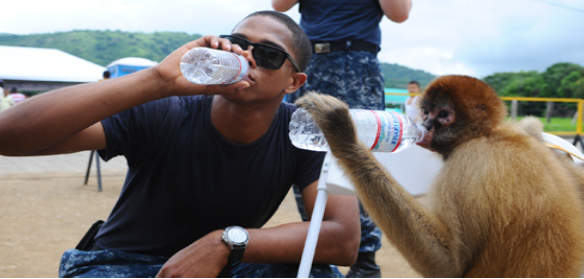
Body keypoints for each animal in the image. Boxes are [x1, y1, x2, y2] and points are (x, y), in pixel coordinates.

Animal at [296, 75, 584, 278]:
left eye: (444, 115)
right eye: (427, 112)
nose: (426, 125)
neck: (486, 135)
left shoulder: (468, 160)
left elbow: (449, 266)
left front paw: (343, 135)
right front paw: (533, 129)